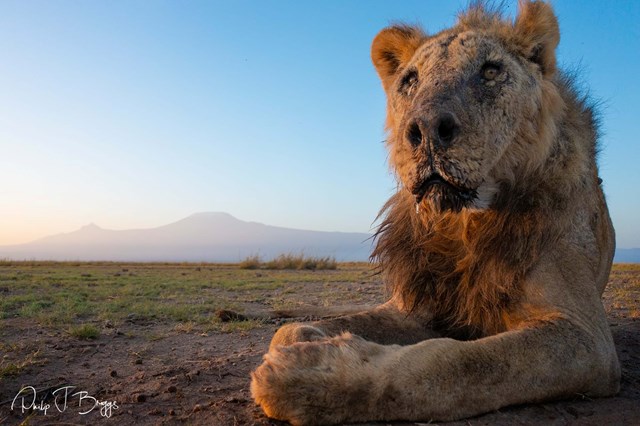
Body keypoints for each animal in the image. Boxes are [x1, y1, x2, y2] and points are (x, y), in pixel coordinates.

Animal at [249, 1, 620, 424]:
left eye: (490, 71)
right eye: (410, 80)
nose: (425, 129)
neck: (461, 223)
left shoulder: (586, 337)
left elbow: (454, 363)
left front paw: (313, 374)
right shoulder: (416, 306)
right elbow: (293, 330)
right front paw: (308, 338)